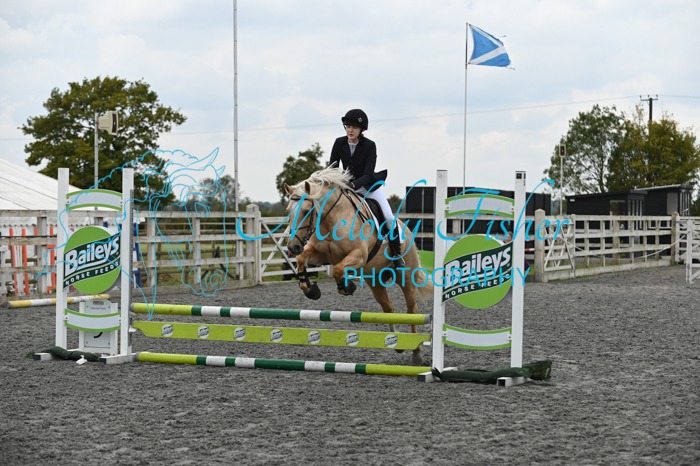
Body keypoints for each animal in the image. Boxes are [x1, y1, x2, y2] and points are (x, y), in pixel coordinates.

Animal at [284, 167, 432, 365]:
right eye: (288, 211)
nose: (293, 246)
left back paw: (416, 353)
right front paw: (311, 290)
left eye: (307, 210)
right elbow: (302, 260)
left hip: (406, 277)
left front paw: (346, 287)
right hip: (375, 280)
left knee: (411, 310)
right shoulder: (320, 254)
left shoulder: (358, 255)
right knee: (389, 308)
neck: (332, 219)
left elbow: (338, 269)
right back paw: (398, 343)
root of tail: (406, 229)